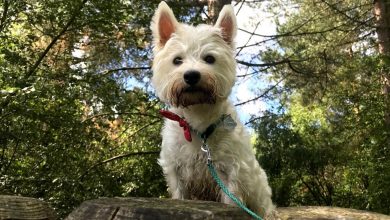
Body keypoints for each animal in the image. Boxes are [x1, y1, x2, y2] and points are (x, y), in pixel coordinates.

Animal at [149, 1, 274, 218]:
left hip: (259, 191)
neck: (198, 118)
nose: (191, 75)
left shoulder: (229, 170)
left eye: (209, 59)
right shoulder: (176, 170)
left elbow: (230, 200)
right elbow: (179, 195)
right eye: (177, 60)